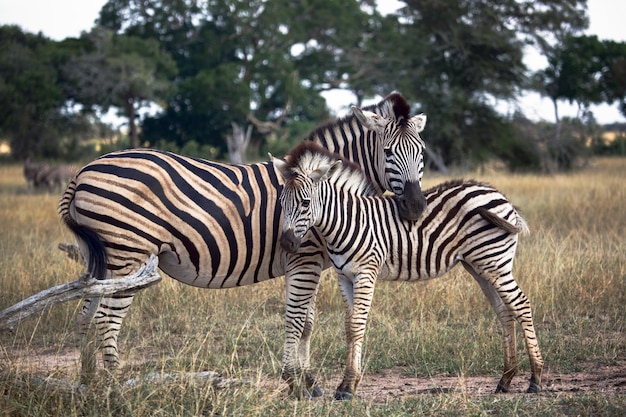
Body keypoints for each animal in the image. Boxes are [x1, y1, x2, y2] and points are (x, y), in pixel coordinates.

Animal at [272, 142, 540, 400]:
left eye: (305, 203)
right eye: (282, 203)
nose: (286, 244)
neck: (346, 222)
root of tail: (499, 194)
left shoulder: (366, 272)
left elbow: (357, 324)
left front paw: (348, 386)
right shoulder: (344, 276)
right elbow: (349, 325)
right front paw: (347, 384)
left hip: (494, 260)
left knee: (521, 304)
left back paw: (535, 379)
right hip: (480, 265)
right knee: (504, 311)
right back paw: (505, 380)